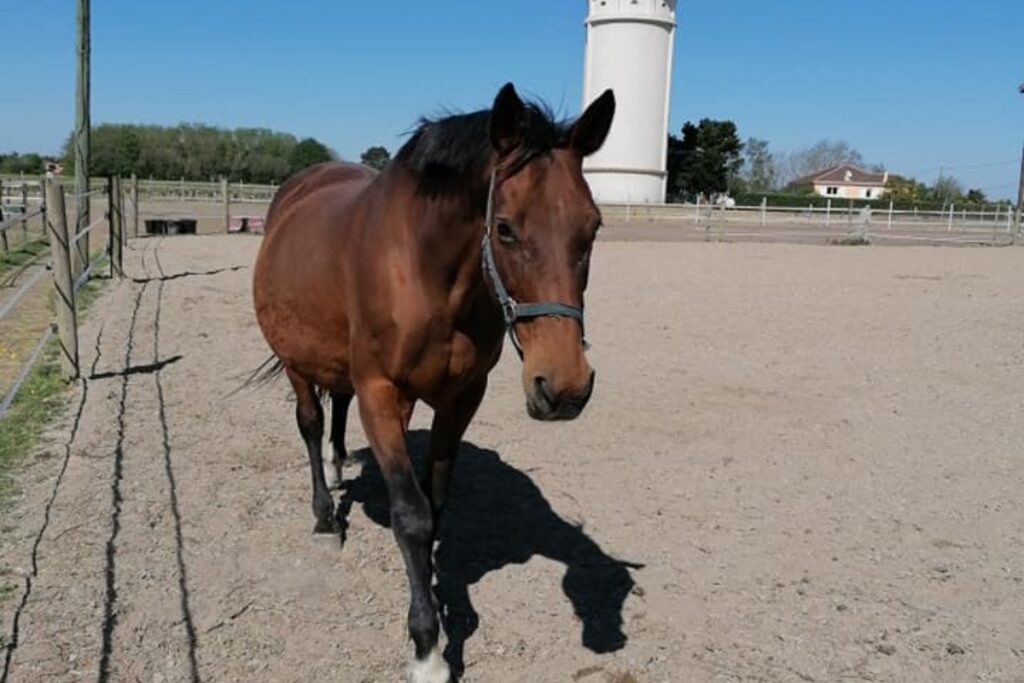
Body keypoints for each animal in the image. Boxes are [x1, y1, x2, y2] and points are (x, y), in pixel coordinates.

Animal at [252, 82, 614, 679]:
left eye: (593, 227)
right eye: (505, 228)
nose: (563, 387)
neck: (427, 275)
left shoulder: (460, 398)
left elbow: (436, 503)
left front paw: (439, 598)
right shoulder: (381, 393)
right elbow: (412, 515)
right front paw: (427, 647)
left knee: (336, 410)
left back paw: (338, 463)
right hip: (298, 362)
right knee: (310, 423)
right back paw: (325, 518)